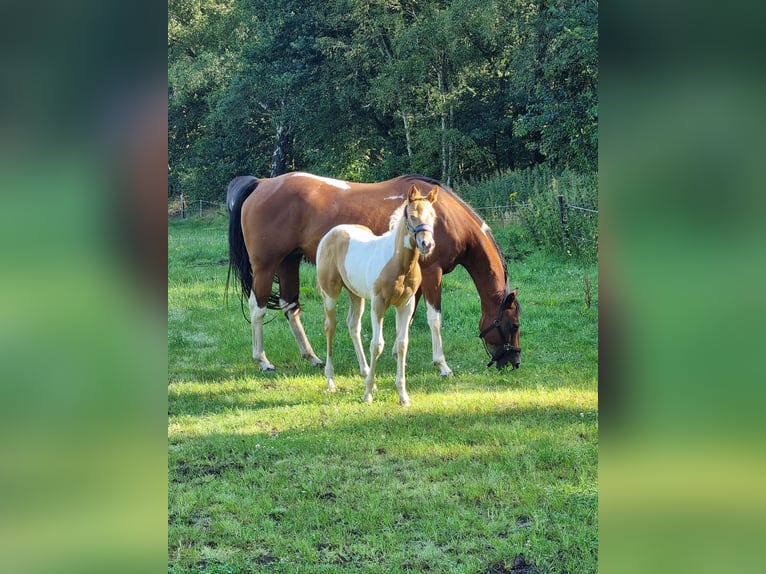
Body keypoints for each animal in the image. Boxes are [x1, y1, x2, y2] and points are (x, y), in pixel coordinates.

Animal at [228, 171, 520, 376]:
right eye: (514, 325)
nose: (513, 362)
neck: (445, 217)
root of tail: (261, 184)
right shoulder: (432, 274)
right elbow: (433, 319)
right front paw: (442, 365)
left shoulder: (414, 280)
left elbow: (408, 319)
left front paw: (397, 353)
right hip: (266, 267)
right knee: (258, 308)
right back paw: (263, 360)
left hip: (289, 262)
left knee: (290, 306)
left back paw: (312, 357)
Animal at [316, 187, 438, 408]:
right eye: (412, 216)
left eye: (433, 216)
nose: (427, 244)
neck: (399, 264)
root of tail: (332, 233)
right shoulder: (379, 304)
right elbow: (377, 344)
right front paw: (367, 395)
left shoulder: (406, 305)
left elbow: (402, 344)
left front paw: (403, 396)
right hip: (330, 293)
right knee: (330, 326)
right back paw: (331, 380)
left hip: (356, 295)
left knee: (353, 325)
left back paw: (365, 374)